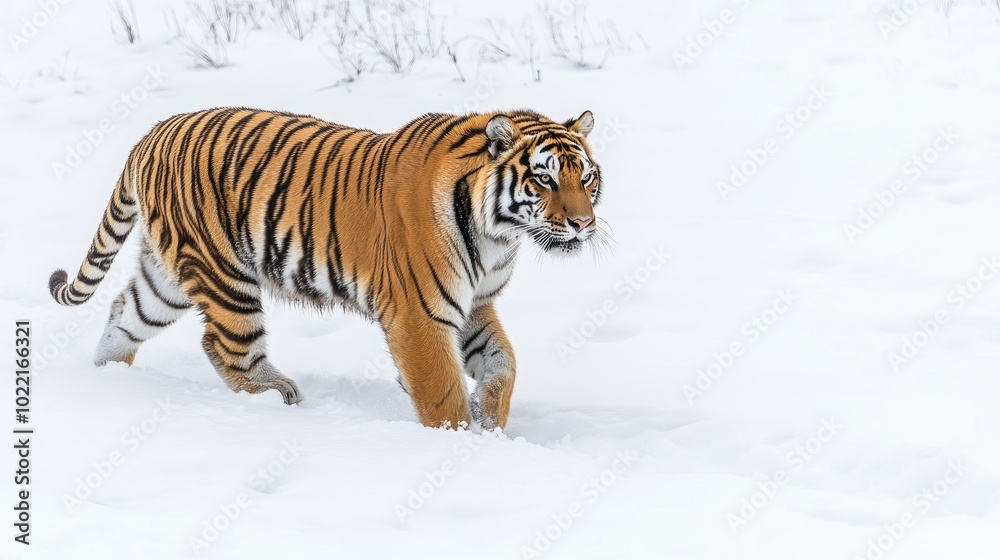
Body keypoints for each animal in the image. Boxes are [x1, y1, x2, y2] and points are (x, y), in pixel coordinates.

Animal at [48, 107, 604, 430]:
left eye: (587, 177)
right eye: (545, 179)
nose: (583, 223)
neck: (497, 235)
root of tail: (150, 135)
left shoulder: (473, 304)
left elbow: (504, 365)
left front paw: (489, 417)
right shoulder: (420, 314)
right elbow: (441, 391)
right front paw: (460, 438)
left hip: (166, 280)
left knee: (125, 312)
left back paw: (108, 380)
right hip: (222, 271)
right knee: (225, 344)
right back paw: (276, 394)